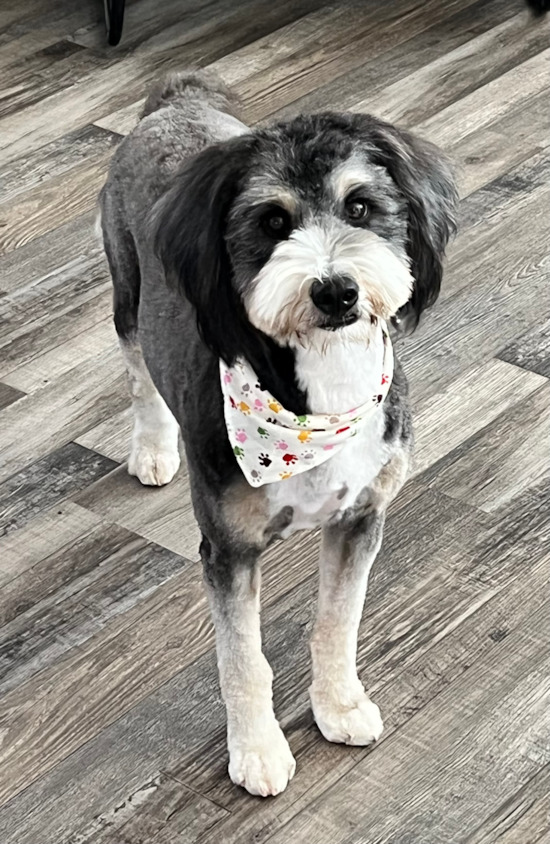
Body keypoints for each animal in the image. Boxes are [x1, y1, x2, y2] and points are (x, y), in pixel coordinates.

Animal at [98, 69, 458, 796]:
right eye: (271, 222)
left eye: (360, 207)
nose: (335, 290)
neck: (319, 401)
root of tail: (173, 102)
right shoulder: (229, 550)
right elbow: (242, 659)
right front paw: (258, 749)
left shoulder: (361, 519)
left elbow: (337, 623)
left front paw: (339, 705)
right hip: (127, 292)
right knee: (138, 373)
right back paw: (151, 448)